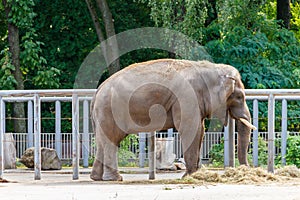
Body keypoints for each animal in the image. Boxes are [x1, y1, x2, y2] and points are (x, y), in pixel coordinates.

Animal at [89, 58, 255, 181]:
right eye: (239, 97)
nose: (246, 168)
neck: (210, 68)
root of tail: (98, 91)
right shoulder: (187, 97)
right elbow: (191, 129)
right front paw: (188, 176)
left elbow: (200, 130)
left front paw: (194, 175)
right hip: (110, 110)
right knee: (112, 140)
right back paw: (115, 178)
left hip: (103, 113)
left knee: (102, 141)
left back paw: (96, 177)